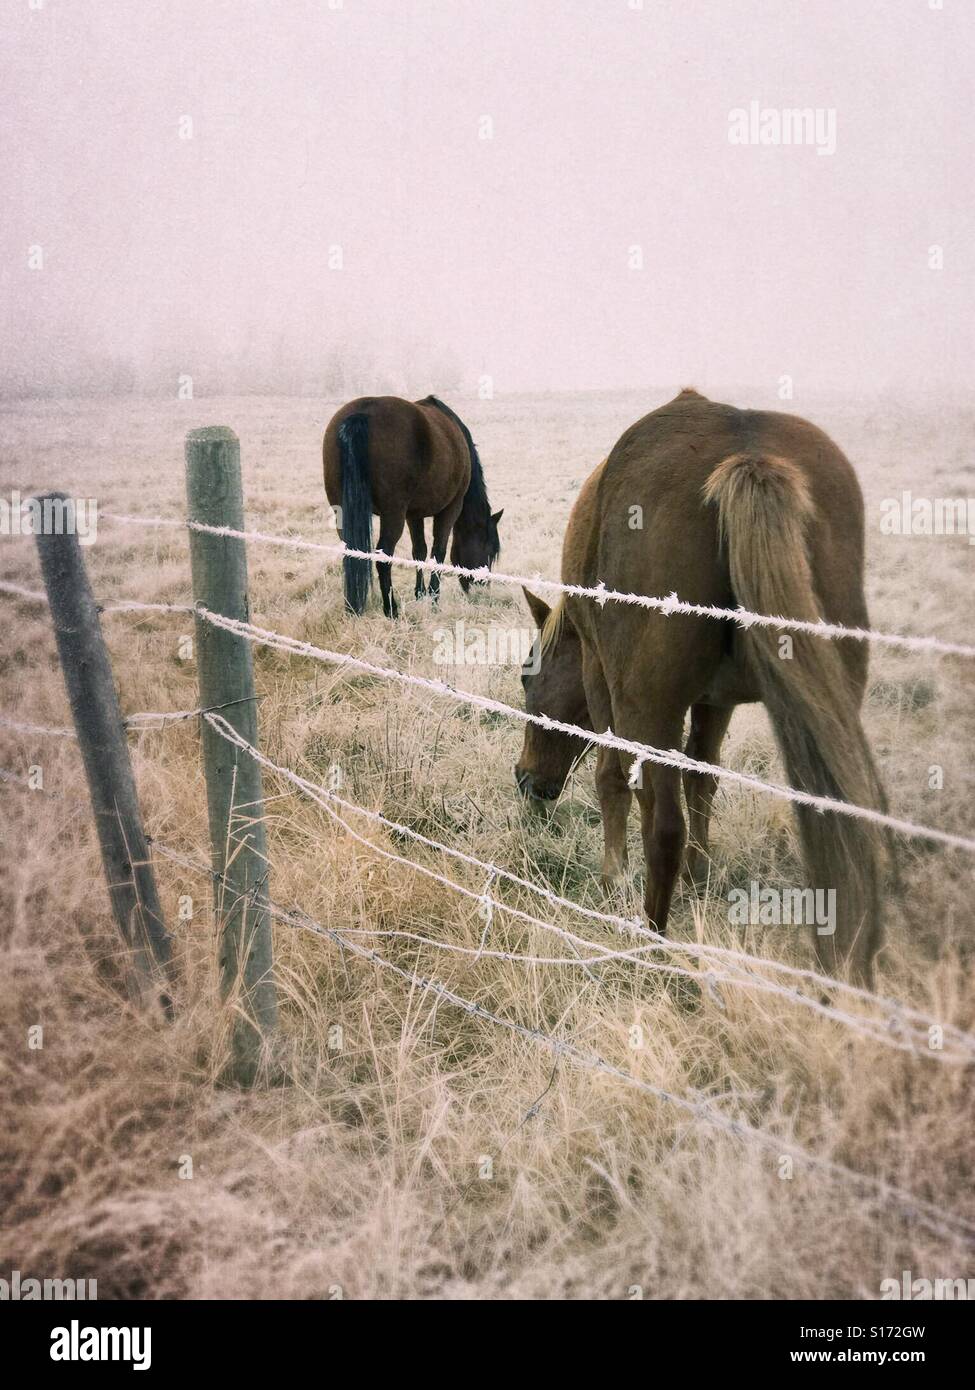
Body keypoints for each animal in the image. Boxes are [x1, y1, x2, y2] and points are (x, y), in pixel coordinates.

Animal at [323, 394, 502, 617]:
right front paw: (433, 598)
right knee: (383, 556)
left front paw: (420, 593)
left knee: (352, 551)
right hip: (393, 514)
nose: (482, 590)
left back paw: (352, 607)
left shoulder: (413, 514)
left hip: (343, 511)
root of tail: (362, 413)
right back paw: (391, 609)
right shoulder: (450, 509)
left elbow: (419, 551)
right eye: (490, 550)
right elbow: (438, 552)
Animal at [515, 389, 888, 983]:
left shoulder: (602, 676)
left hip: (650, 706)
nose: (526, 781)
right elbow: (704, 777)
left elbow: (611, 777)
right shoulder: (717, 700)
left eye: (528, 677)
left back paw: (649, 938)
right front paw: (700, 874)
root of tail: (746, 456)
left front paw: (612, 878)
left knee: (662, 821)